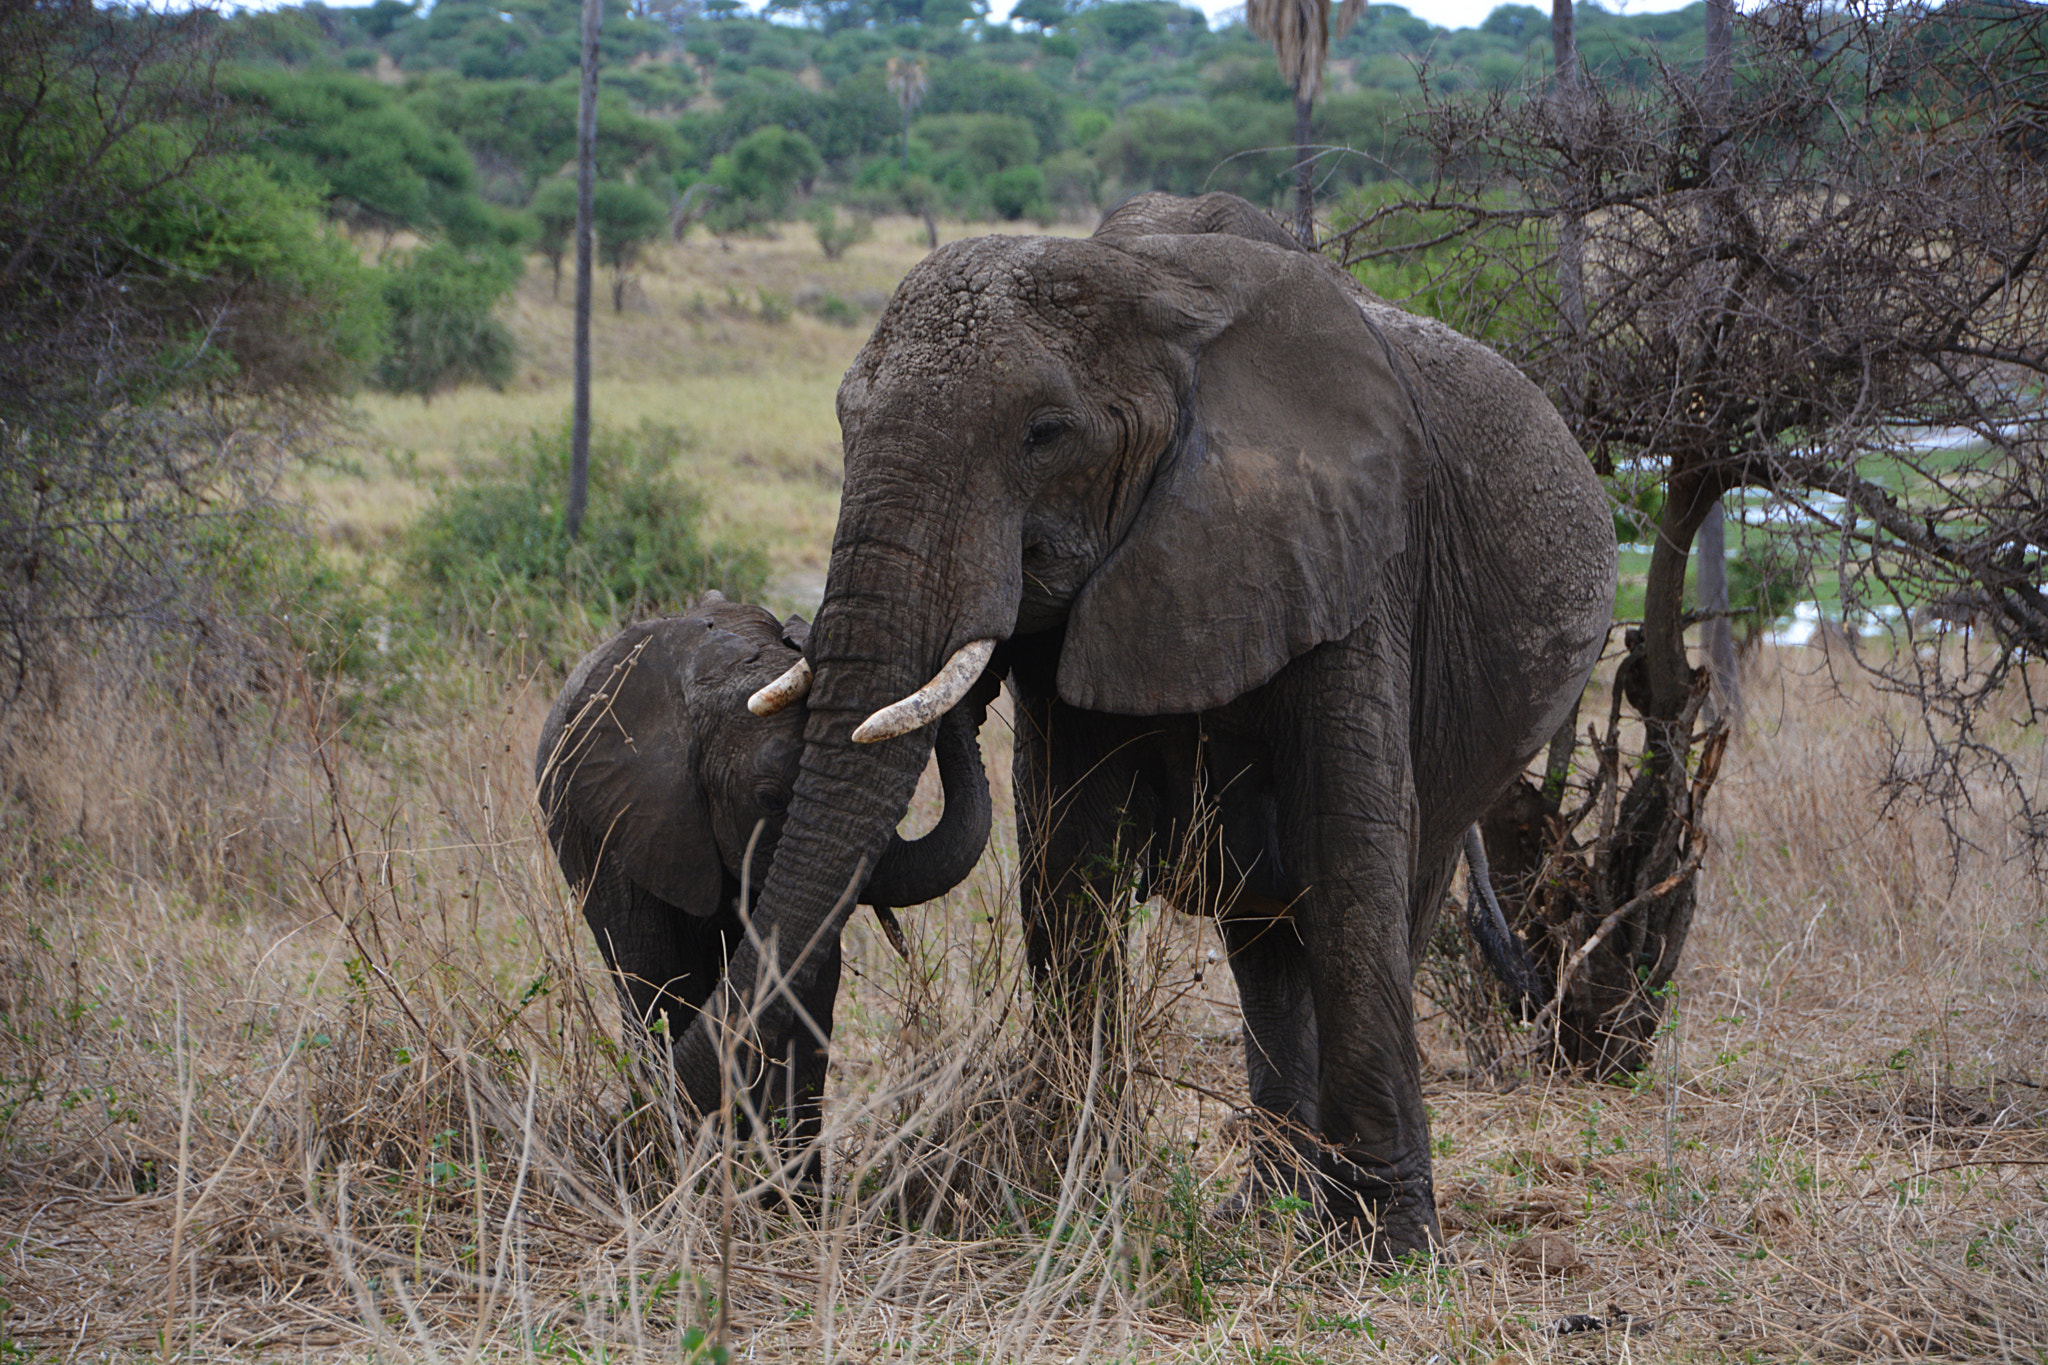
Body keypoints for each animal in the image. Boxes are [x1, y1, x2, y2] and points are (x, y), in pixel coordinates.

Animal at [671, 194, 1613, 1260]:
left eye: (1044, 434)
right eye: (842, 421)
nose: (687, 1078)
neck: (1153, 287)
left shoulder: (1358, 555)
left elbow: (1348, 849)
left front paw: (1394, 1249)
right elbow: (1068, 860)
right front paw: (1072, 1193)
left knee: (1386, 891)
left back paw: (1319, 1210)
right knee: (1263, 943)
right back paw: (1269, 1209)